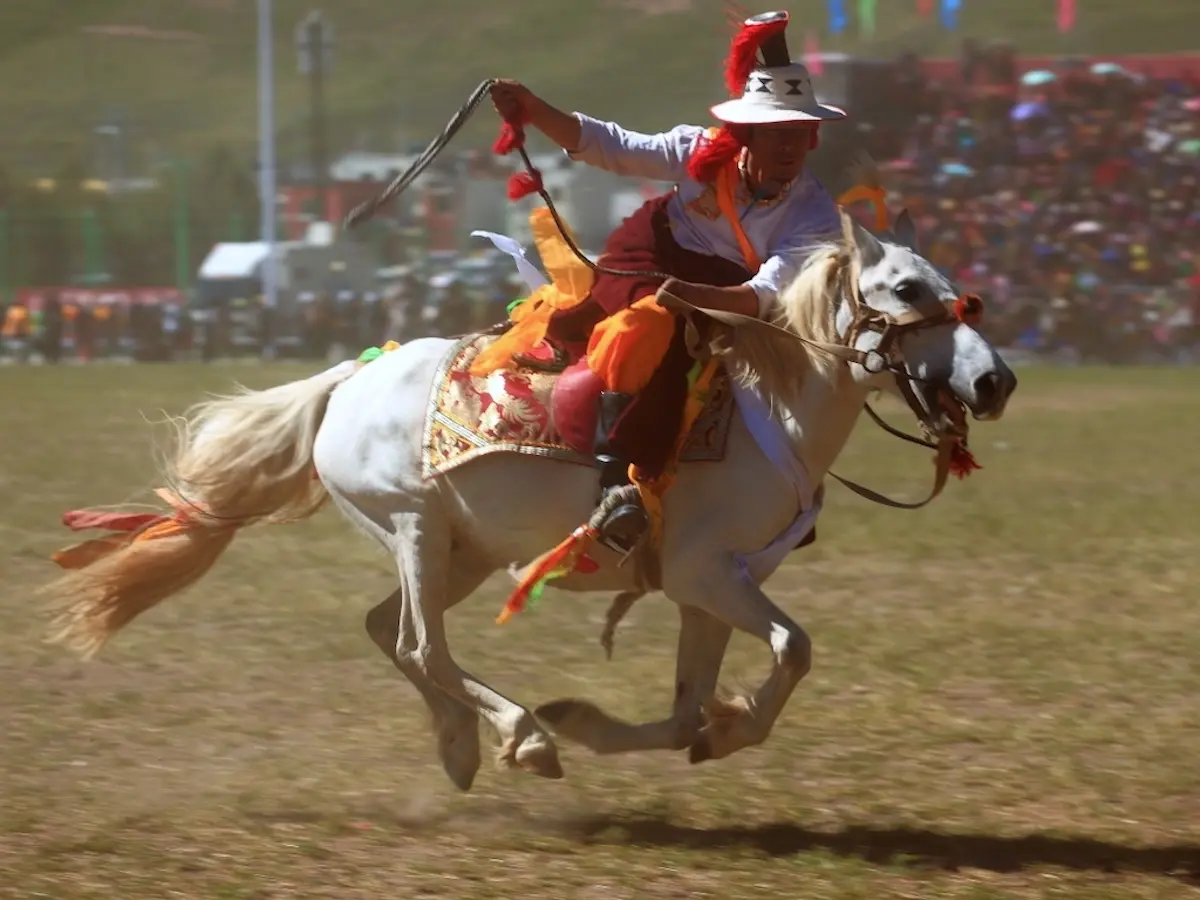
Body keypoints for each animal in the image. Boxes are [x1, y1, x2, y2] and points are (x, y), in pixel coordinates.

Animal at [44, 211, 1012, 787]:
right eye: (906, 289)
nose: (995, 380)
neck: (767, 409)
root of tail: (348, 377)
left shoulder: (705, 588)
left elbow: (686, 709)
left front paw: (621, 723)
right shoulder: (708, 572)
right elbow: (795, 649)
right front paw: (716, 728)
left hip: (462, 553)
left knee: (388, 634)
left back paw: (465, 743)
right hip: (416, 529)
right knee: (418, 644)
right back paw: (519, 736)